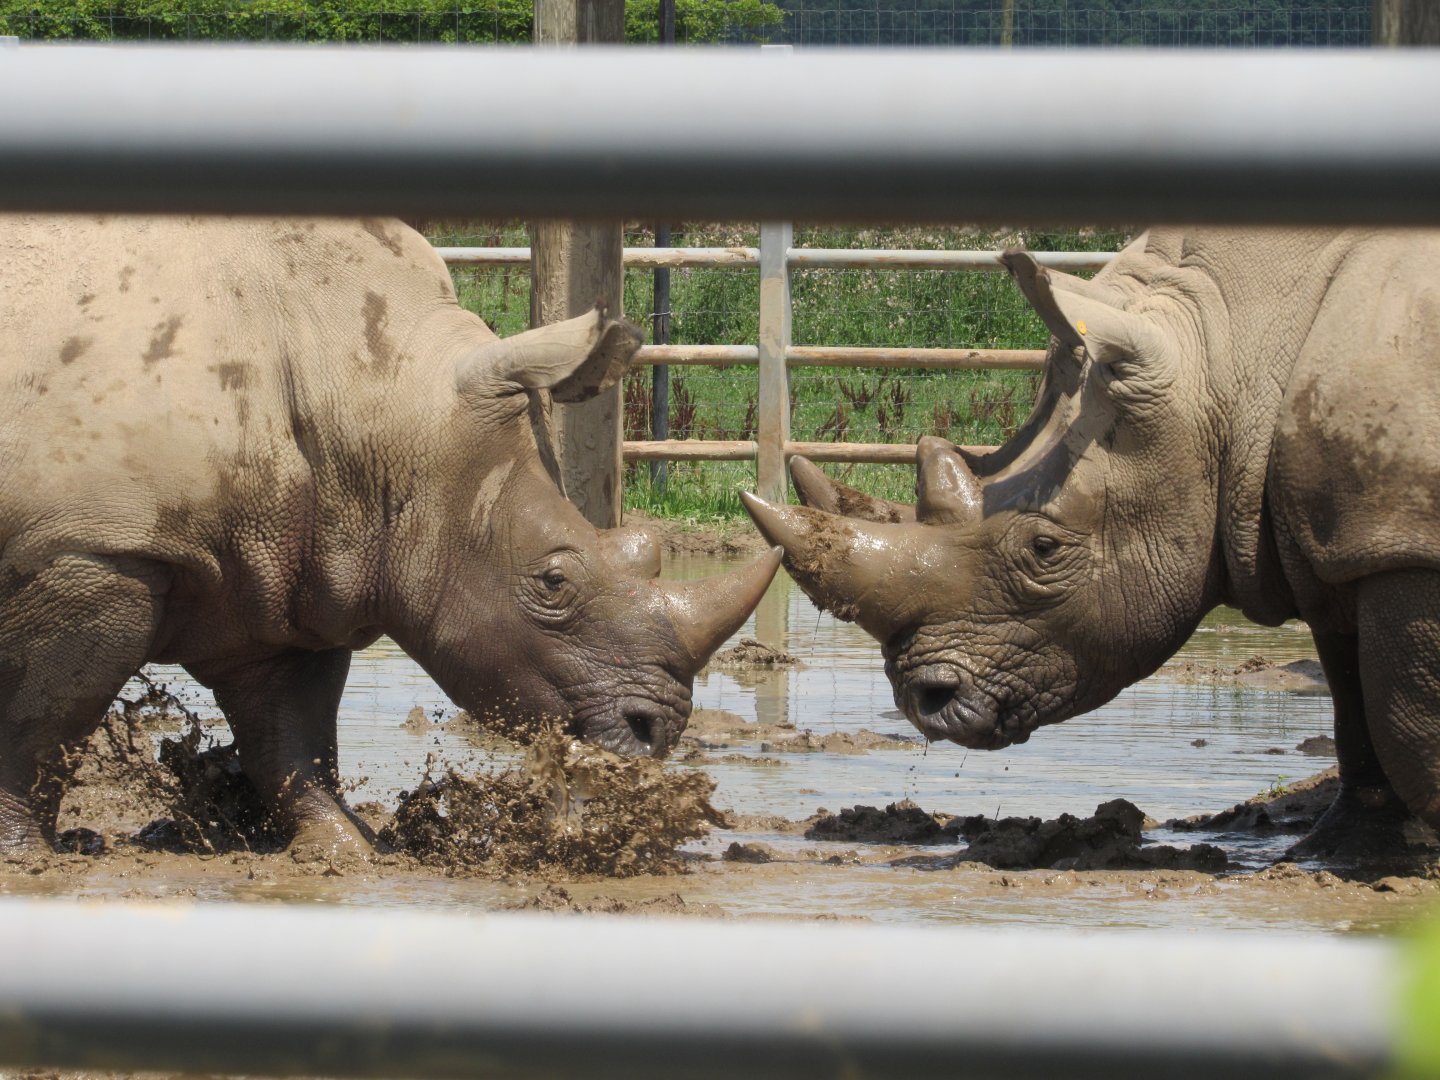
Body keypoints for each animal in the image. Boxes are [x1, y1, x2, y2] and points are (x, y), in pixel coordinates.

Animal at [0, 215, 779, 858]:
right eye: (554, 582)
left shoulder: (289, 566)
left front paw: (349, 850)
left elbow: (292, 739)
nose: (657, 730)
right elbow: (41, 721)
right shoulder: (92, 551)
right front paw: (29, 857)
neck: (379, 399)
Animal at [745, 228, 1440, 856]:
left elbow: (1411, 717)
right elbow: (1356, 705)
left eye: (1044, 550)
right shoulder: (1344, 544)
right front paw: (1348, 850)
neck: (1228, 353)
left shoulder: (1400, 548)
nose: (923, 703)